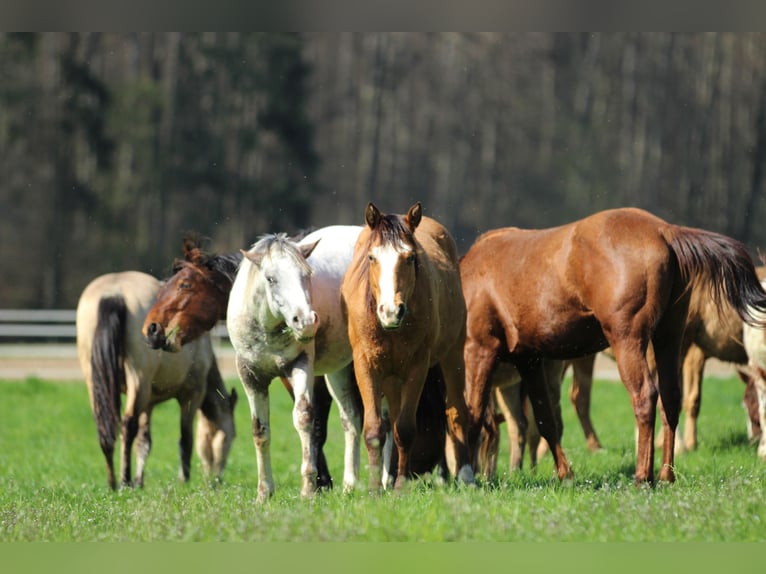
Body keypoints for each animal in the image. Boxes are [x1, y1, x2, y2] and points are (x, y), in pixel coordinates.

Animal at [76, 271, 238, 490]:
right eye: (232, 436)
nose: (215, 480)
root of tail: (114, 292)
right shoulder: (191, 395)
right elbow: (185, 438)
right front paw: (184, 479)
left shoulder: (148, 403)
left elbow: (144, 442)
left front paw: (139, 481)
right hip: (138, 379)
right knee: (128, 425)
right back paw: (124, 480)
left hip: (96, 382)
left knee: (105, 427)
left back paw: (112, 482)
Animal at [226, 225, 365, 502]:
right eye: (271, 279)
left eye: (306, 274)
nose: (307, 321)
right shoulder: (250, 376)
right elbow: (260, 430)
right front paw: (264, 492)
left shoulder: (299, 366)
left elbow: (303, 418)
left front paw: (308, 489)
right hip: (339, 371)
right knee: (351, 419)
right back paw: (349, 485)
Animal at [341, 202, 475, 490]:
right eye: (371, 257)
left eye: (410, 258)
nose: (391, 311)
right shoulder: (365, 366)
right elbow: (375, 430)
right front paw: (375, 489)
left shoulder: (418, 367)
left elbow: (404, 429)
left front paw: (401, 486)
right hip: (392, 376)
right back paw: (388, 476)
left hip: (453, 356)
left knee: (457, 412)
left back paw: (467, 476)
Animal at [460, 207, 766, 485]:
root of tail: (664, 231)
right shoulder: (530, 360)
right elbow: (546, 419)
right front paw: (565, 475)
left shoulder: (479, 350)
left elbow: (473, 415)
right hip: (668, 339)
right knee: (670, 399)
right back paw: (666, 475)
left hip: (627, 340)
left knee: (644, 396)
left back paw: (643, 476)